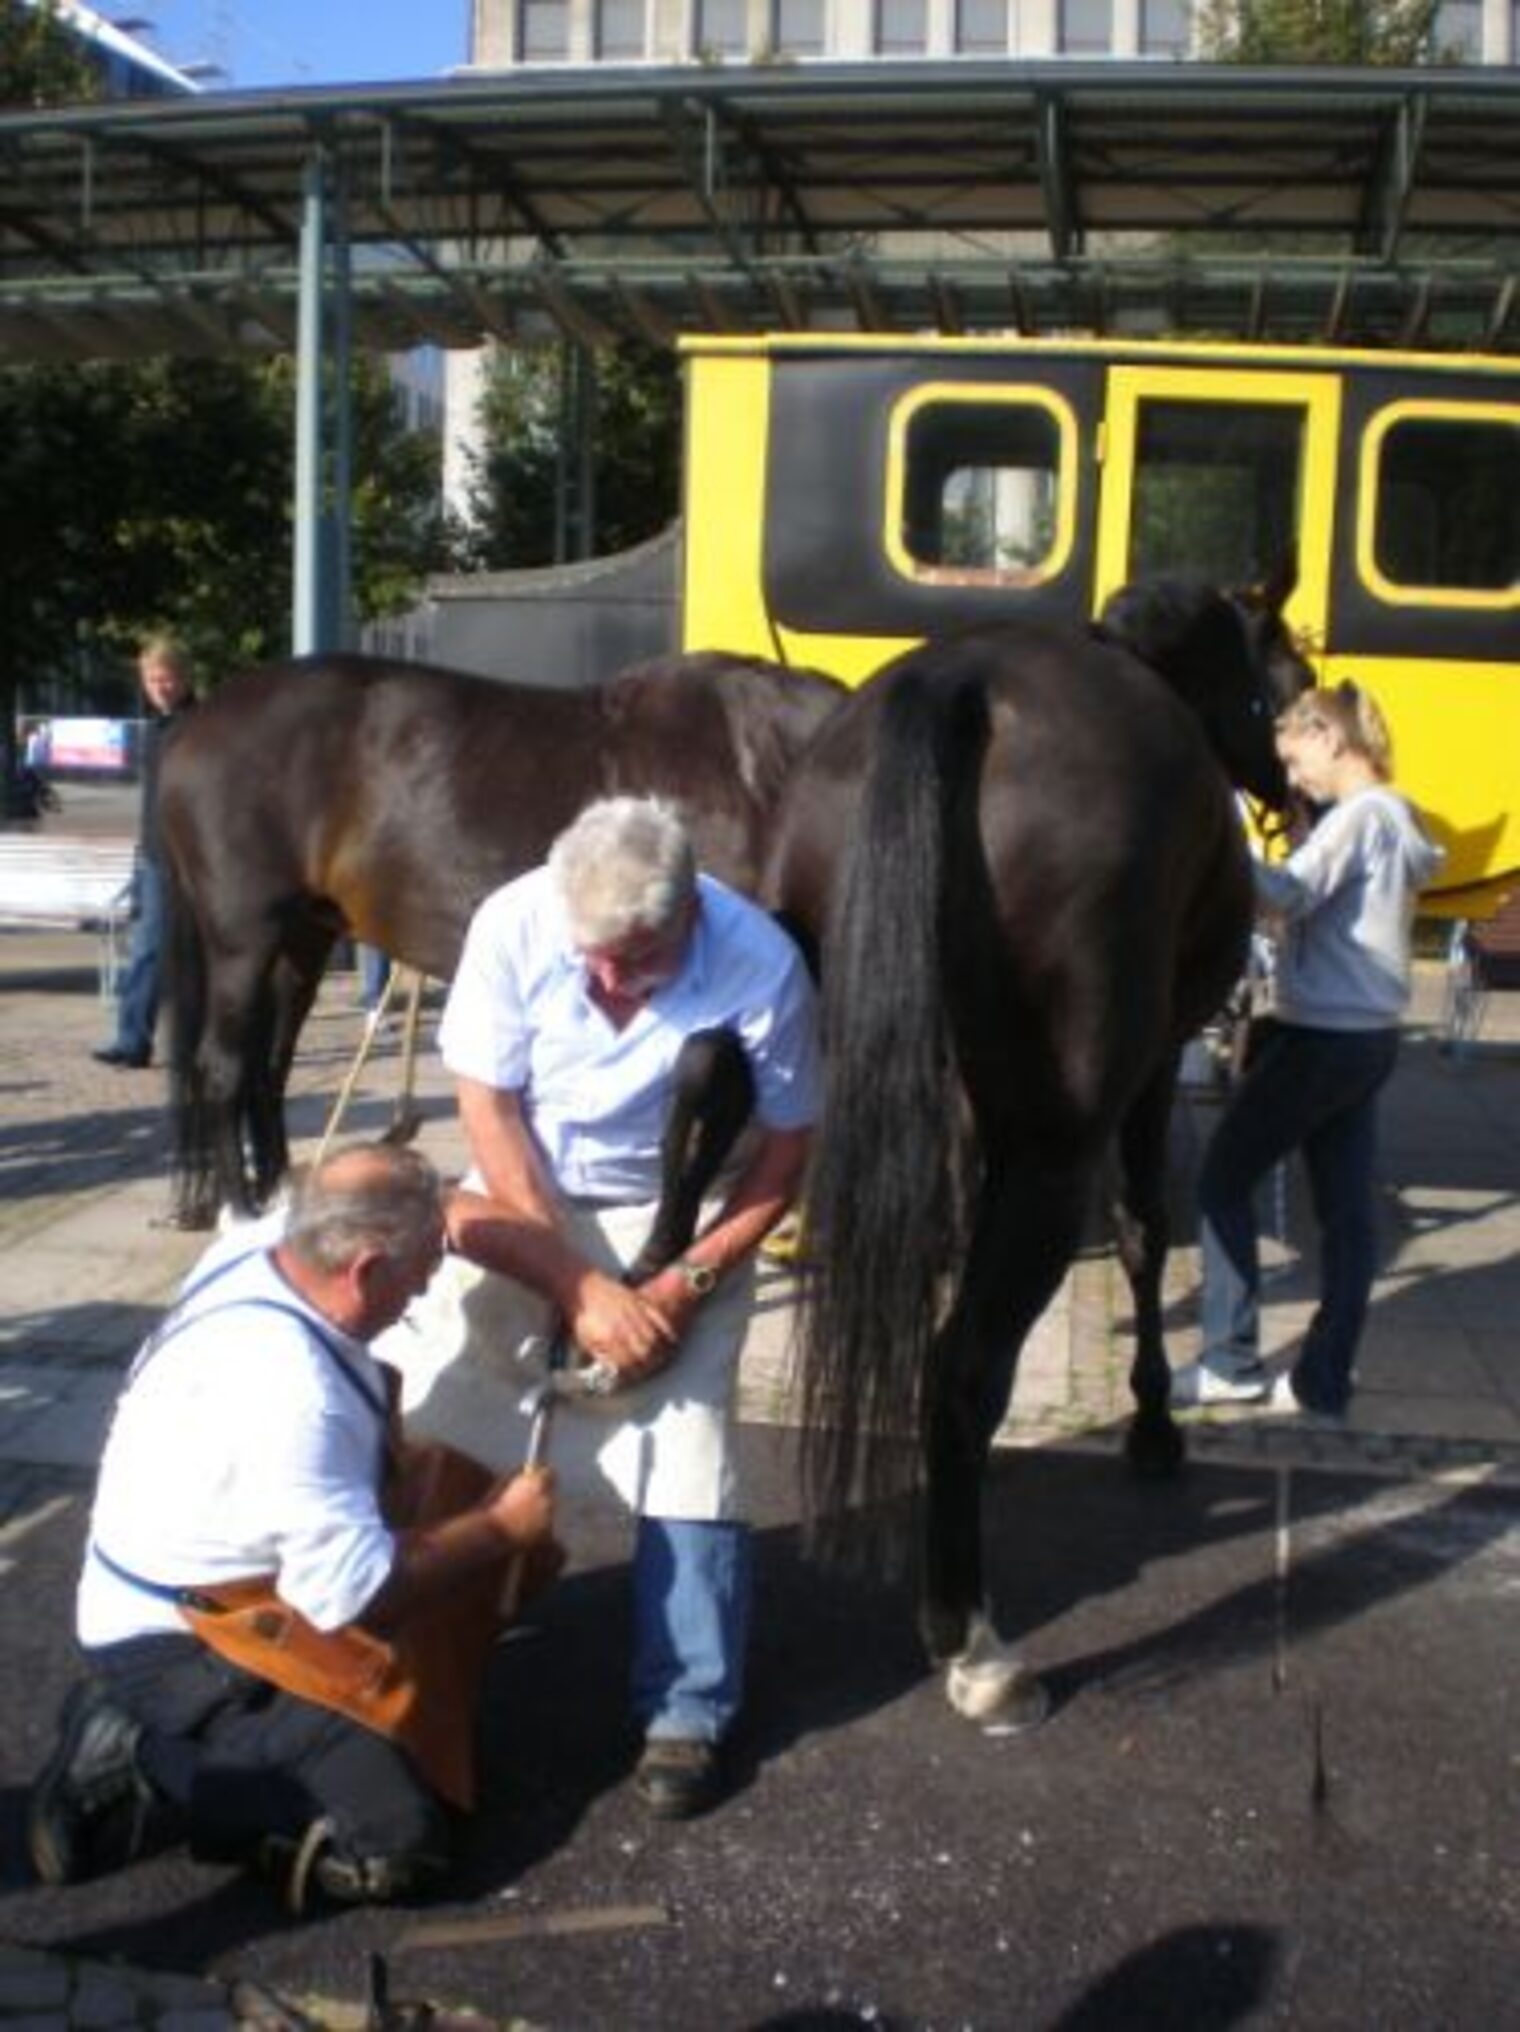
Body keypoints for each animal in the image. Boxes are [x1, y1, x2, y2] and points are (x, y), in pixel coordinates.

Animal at [160, 650, 849, 1219]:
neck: (760, 767)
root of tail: (195, 724)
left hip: (302, 941)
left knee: (269, 1067)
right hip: (243, 944)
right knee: (224, 1069)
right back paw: (241, 1211)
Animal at [764, 581, 1308, 1723]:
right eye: (1280, 674)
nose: (1287, 787)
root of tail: (955, 685)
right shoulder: (1149, 1073)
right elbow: (1143, 1229)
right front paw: (1152, 1427)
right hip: (1058, 1148)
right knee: (959, 1365)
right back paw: (970, 1641)